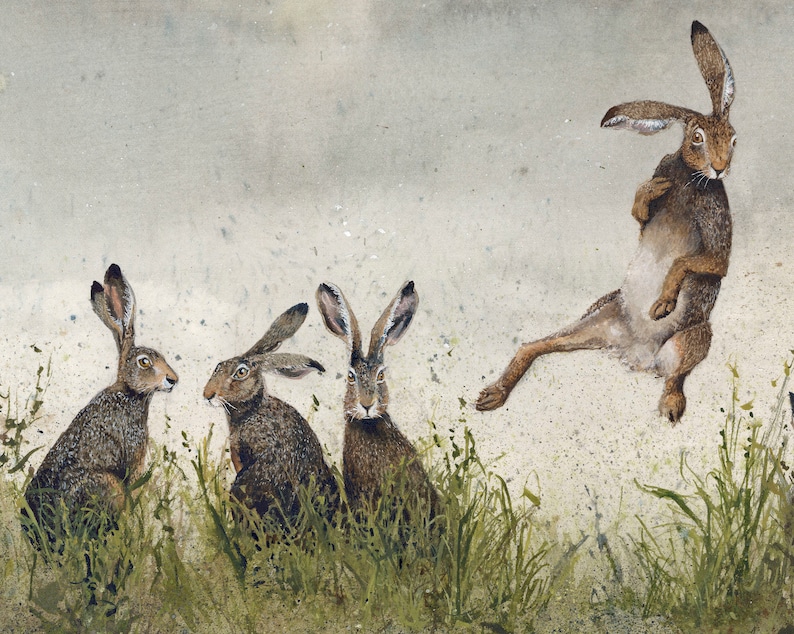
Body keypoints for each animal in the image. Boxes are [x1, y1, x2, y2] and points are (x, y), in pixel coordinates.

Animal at [476, 21, 736, 423]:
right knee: (536, 345)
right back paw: (492, 394)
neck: (692, 178)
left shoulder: (717, 234)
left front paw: (662, 305)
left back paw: (670, 407)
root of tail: (633, 353)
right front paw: (652, 189)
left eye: (734, 139)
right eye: (697, 138)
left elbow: (694, 262)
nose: (721, 168)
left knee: (675, 375)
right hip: (599, 316)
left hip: (692, 337)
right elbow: (641, 213)